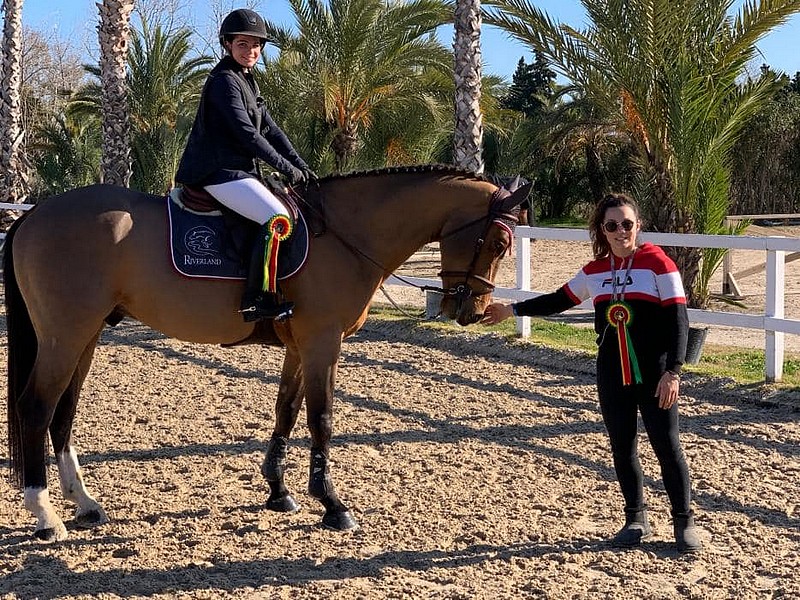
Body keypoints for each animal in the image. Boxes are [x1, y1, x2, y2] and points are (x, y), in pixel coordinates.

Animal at [6, 164, 532, 540]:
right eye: (499, 241)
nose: (471, 310)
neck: (345, 235)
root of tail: (34, 213)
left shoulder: (300, 347)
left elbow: (287, 411)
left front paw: (279, 491)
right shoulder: (323, 342)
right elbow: (321, 418)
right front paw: (333, 505)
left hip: (86, 335)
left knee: (63, 413)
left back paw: (84, 503)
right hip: (66, 335)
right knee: (36, 407)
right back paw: (45, 514)